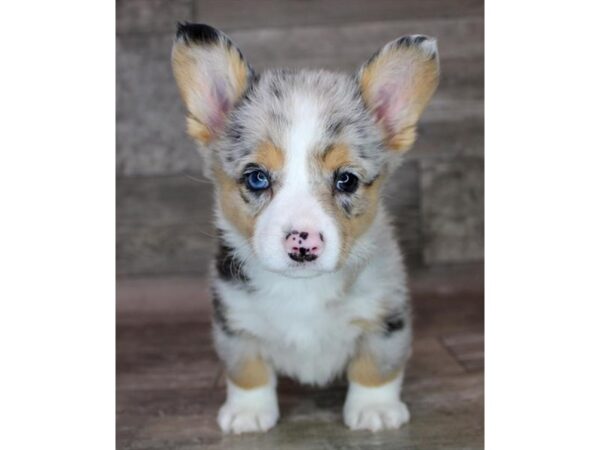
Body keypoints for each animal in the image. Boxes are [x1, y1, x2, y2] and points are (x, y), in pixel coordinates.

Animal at [171, 22, 438, 434]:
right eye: (257, 178)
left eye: (346, 180)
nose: (303, 244)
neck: (302, 289)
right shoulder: (234, 321)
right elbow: (247, 370)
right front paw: (248, 413)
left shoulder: (386, 315)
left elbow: (376, 366)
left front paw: (375, 409)